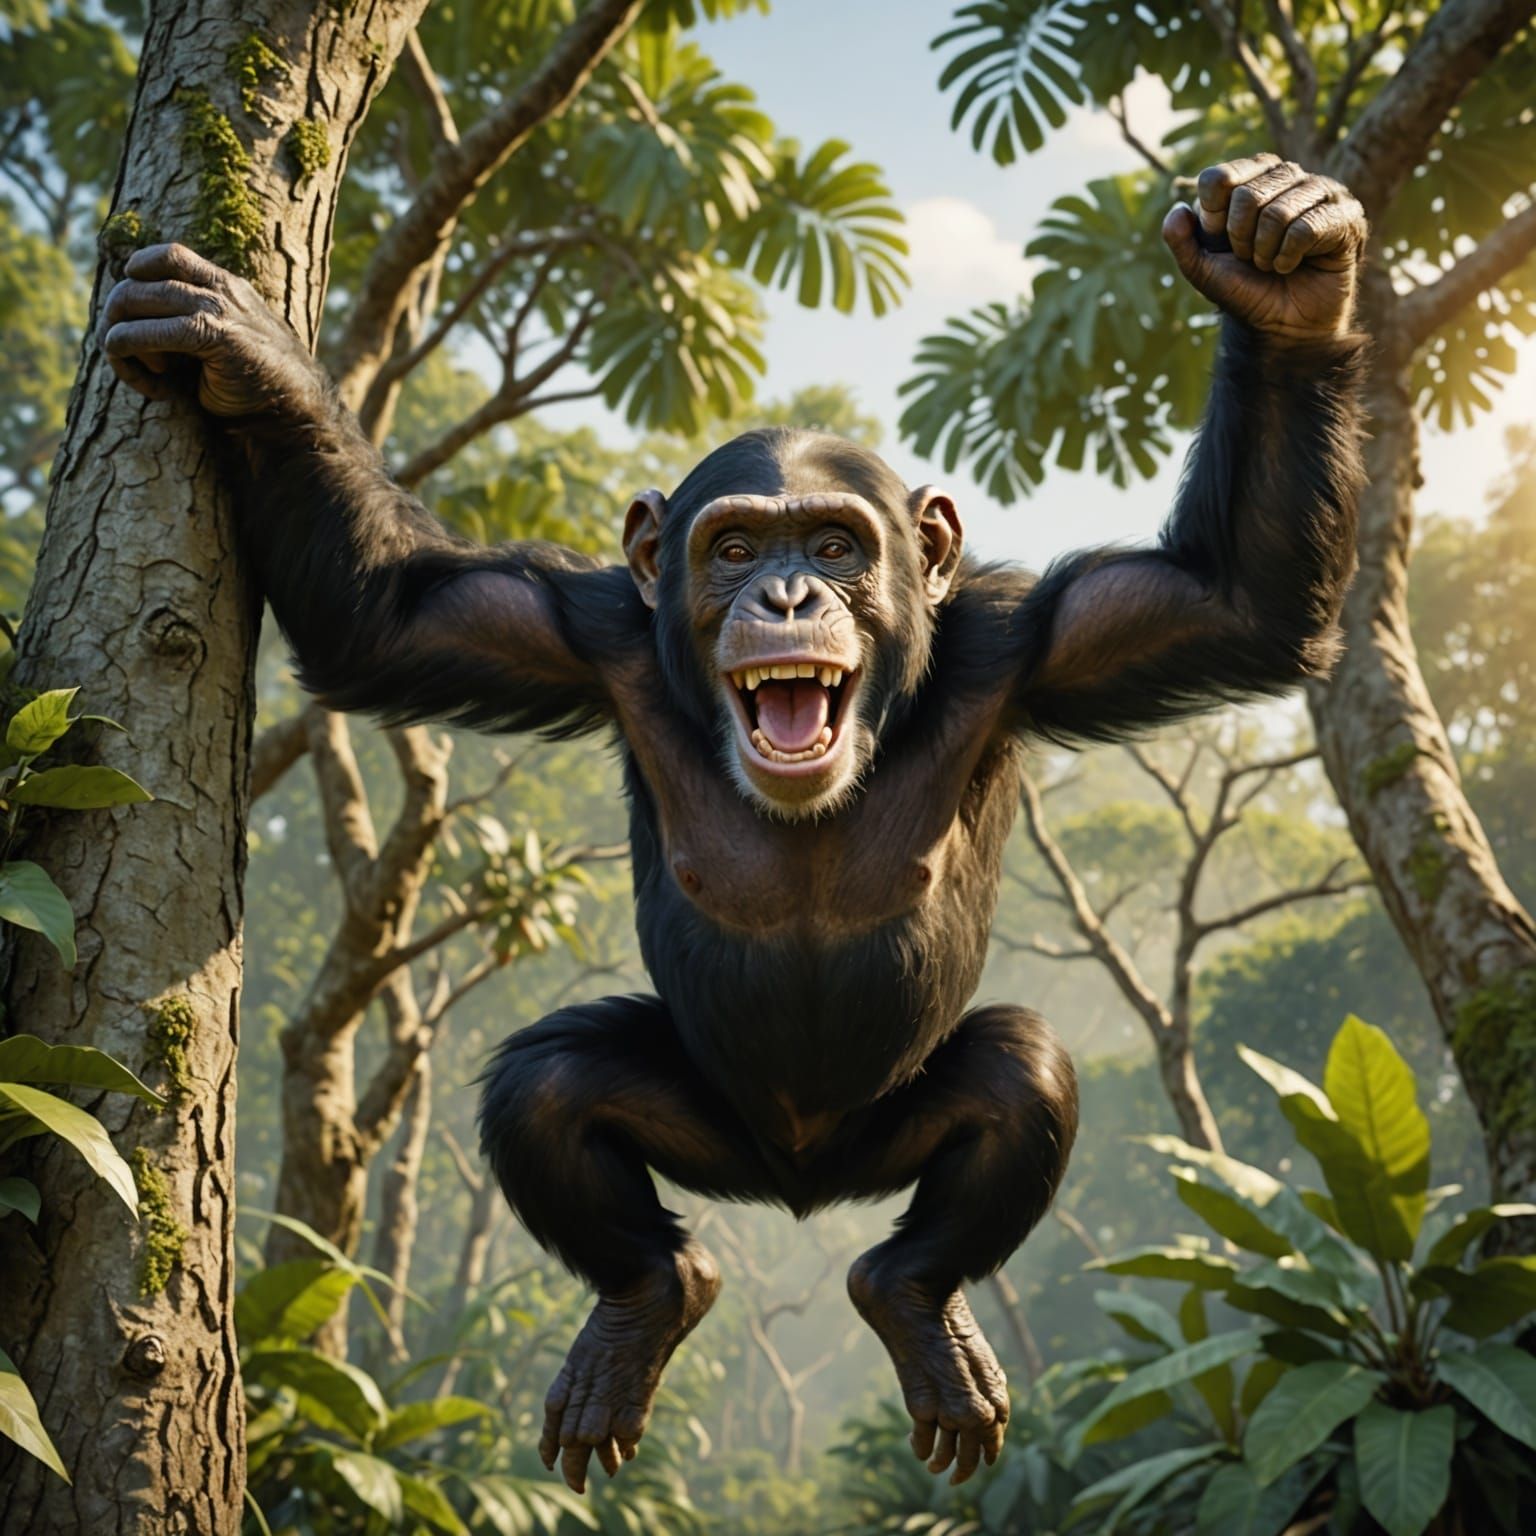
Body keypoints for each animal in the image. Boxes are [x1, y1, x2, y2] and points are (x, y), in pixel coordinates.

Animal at [103, 151, 1366, 1492]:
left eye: (835, 542)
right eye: (737, 544)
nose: (791, 591)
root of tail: (798, 1185)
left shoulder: (1044, 634)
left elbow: (1235, 598)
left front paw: (1286, 267)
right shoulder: (571, 630)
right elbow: (381, 617)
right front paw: (250, 362)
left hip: (880, 1144)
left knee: (1015, 1081)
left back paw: (915, 1302)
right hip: (711, 1138)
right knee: (554, 1083)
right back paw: (647, 1303)